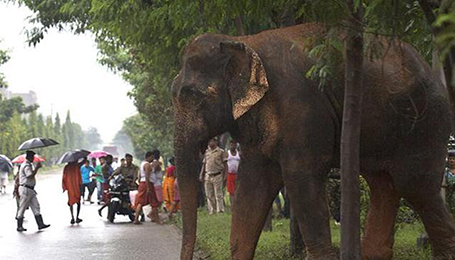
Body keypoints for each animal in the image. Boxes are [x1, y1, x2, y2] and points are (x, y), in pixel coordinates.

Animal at [172, 22, 455, 260]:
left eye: (194, 96)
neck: (242, 41)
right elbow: (253, 184)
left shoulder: (300, 104)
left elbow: (302, 176)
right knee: (384, 184)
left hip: (425, 121)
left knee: (415, 185)